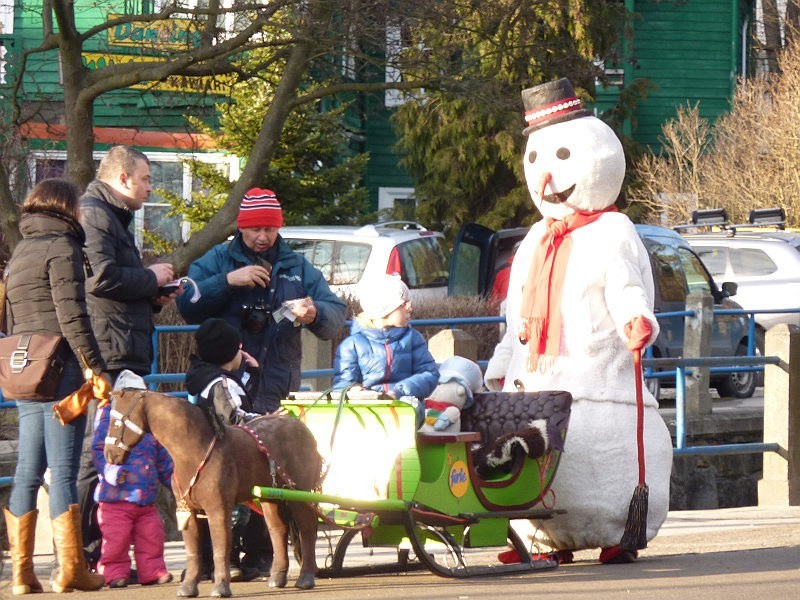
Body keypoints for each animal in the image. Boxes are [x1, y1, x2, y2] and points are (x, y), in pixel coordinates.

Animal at [103, 390, 322, 596]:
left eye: (117, 420)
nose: (109, 454)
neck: (194, 451)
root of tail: (301, 427)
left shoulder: (218, 508)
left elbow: (220, 547)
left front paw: (221, 586)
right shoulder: (187, 510)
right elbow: (193, 551)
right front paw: (188, 587)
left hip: (300, 493)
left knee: (307, 529)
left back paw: (306, 577)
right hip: (270, 496)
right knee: (278, 530)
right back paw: (277, 577)